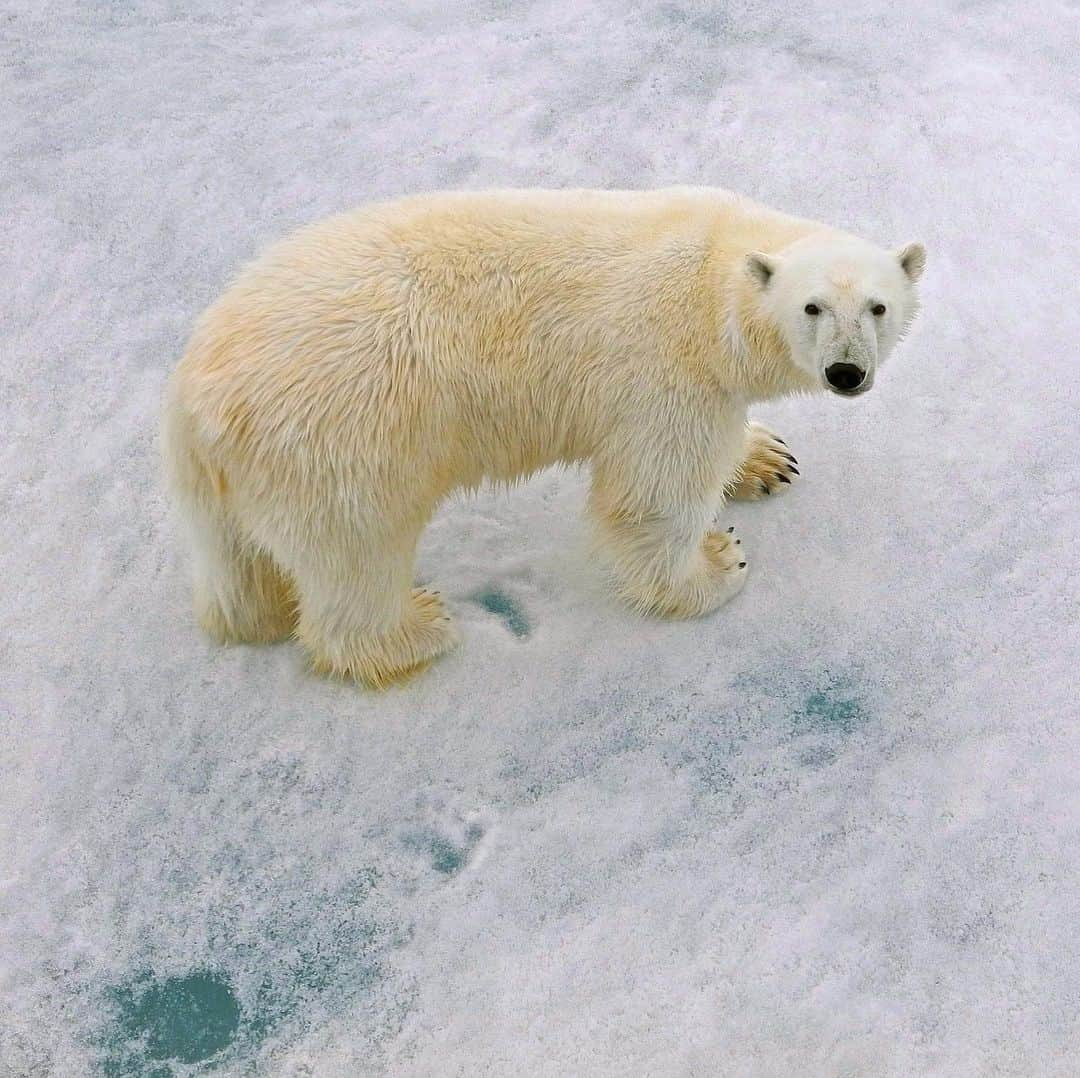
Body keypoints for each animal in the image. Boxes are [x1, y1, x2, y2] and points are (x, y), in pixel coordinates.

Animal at [164, 189, 924, 686]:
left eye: (879, 306)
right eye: (812, 307)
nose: (847, 370)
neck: (711, 277)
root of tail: (195, 401)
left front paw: (767, 459)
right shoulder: (665, 375)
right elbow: (653, 496)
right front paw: (717, 563)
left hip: (246, 472)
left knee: (238, 565)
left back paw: (257, 615)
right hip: (345, 438)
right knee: (357, 554)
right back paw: (418, 628)